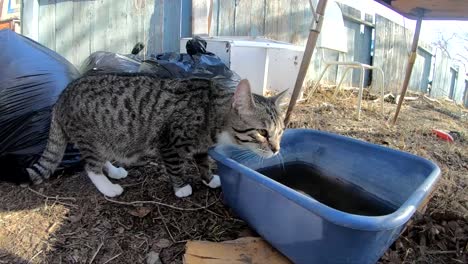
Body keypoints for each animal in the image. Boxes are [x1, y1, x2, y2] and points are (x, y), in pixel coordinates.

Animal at [26, 73, 288, 197]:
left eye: (280, 132)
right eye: (262, 132)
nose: (276, 149)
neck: (211, 110)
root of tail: (61, 96)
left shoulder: (201, 147)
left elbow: (203, 162)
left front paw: (208, 178)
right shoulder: (169, 141)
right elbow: (175, 166)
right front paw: (181, 188)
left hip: (104, 140)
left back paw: (114, 171)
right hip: (90, 138)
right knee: (90, 167)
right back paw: (108, 187)